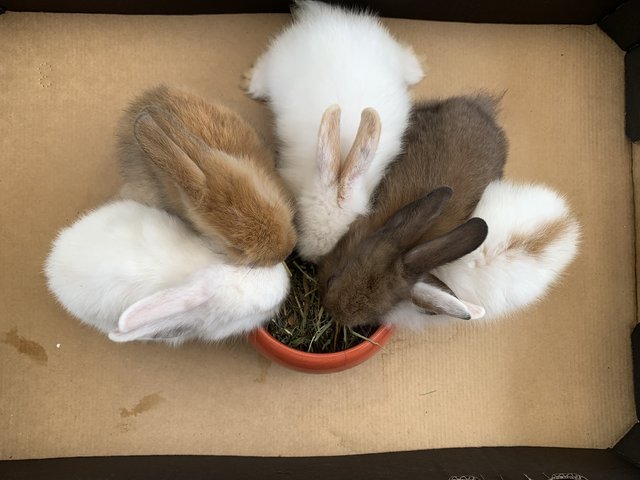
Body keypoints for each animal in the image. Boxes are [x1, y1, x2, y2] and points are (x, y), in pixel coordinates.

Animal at [245, 0, 424, 262]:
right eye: (298, 216)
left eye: (349, 228)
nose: (312, 257)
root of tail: (327, 17)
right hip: (277, 57)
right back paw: (252, 84)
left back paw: (416, 70)